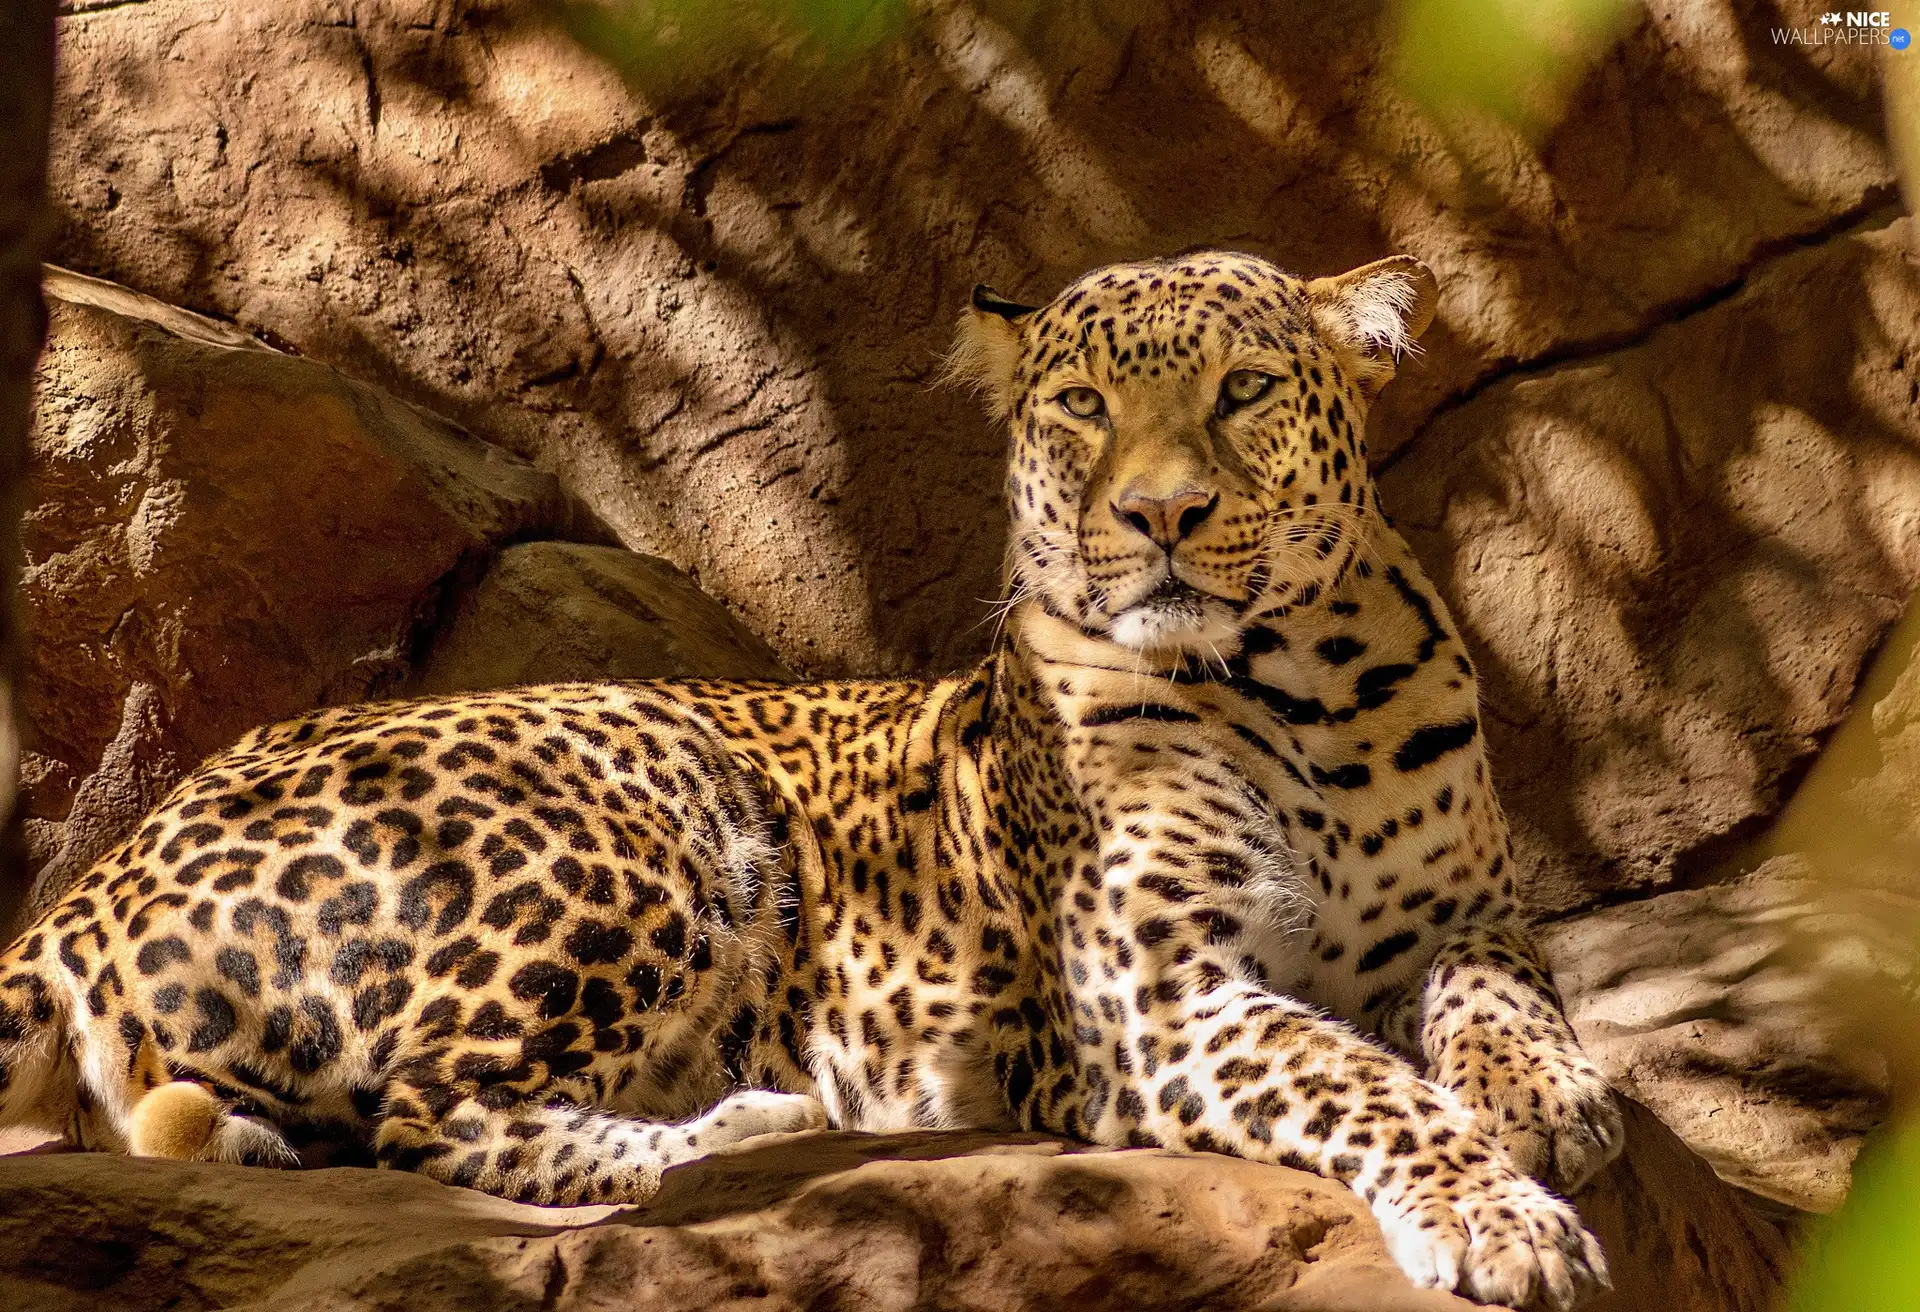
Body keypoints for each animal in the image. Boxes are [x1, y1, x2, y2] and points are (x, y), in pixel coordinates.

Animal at [0, 251, 1620, 1306]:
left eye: (1245, 390)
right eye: (1082, 408)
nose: (1159, 516)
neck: (1304, 688)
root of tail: (106, 869)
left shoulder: (1468, 914)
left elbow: (1499, 999)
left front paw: (1556, 1103)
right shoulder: (1158, 1002)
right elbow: (1358, 1082)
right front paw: (1503, 1216)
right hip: (644, 804)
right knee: (434, 1116)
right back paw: (762, 1126)